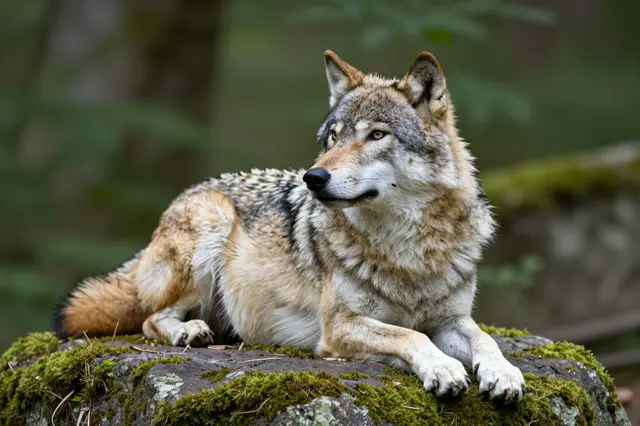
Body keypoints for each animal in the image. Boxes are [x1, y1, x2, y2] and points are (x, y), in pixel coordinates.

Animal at [54, 50, 526, 405]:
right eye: (333, 137)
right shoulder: (341, 327)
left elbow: (487, 339)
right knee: (151, 319)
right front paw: (443, 367)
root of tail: (191, 191)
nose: (313, 177)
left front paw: (503, 374)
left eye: (376, 135)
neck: (407, 250)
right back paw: (189, 332)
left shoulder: (452, 318)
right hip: (212, 223)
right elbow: (409, 335)